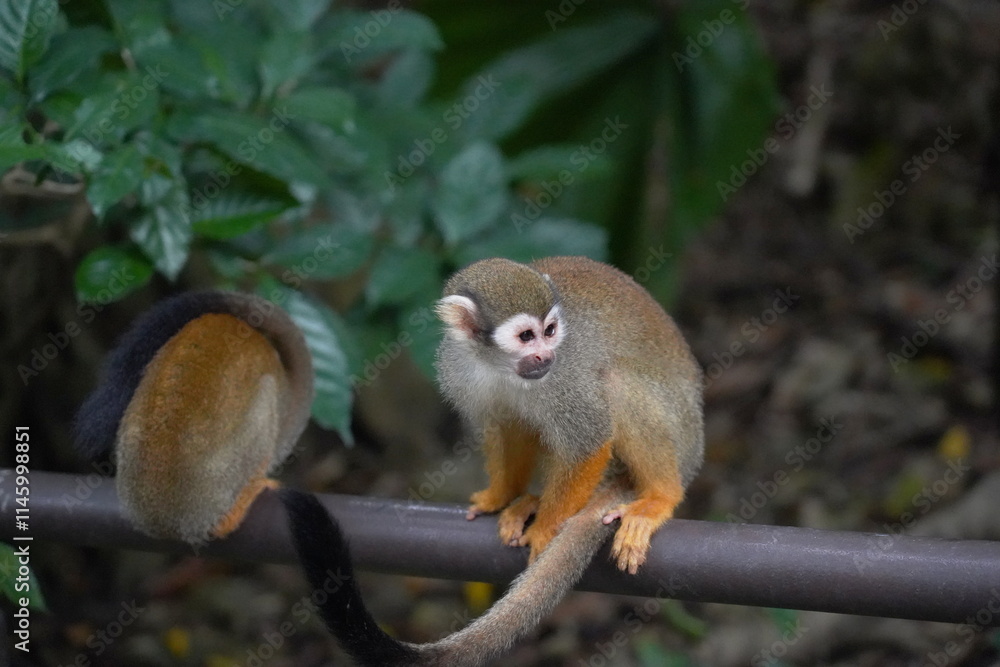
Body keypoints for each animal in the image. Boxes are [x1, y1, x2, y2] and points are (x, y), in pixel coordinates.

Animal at [279, 255, 703, 666]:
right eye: (526, 336)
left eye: (551, 330)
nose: (545, 354)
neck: (499, 366)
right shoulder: (457, 366)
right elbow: (505, 428)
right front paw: (500, 496)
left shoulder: (564, 377)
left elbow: (588, 443)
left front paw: (544, 529)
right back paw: (531, 501)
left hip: (680, 429)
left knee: (614, 381)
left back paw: (659, 497)